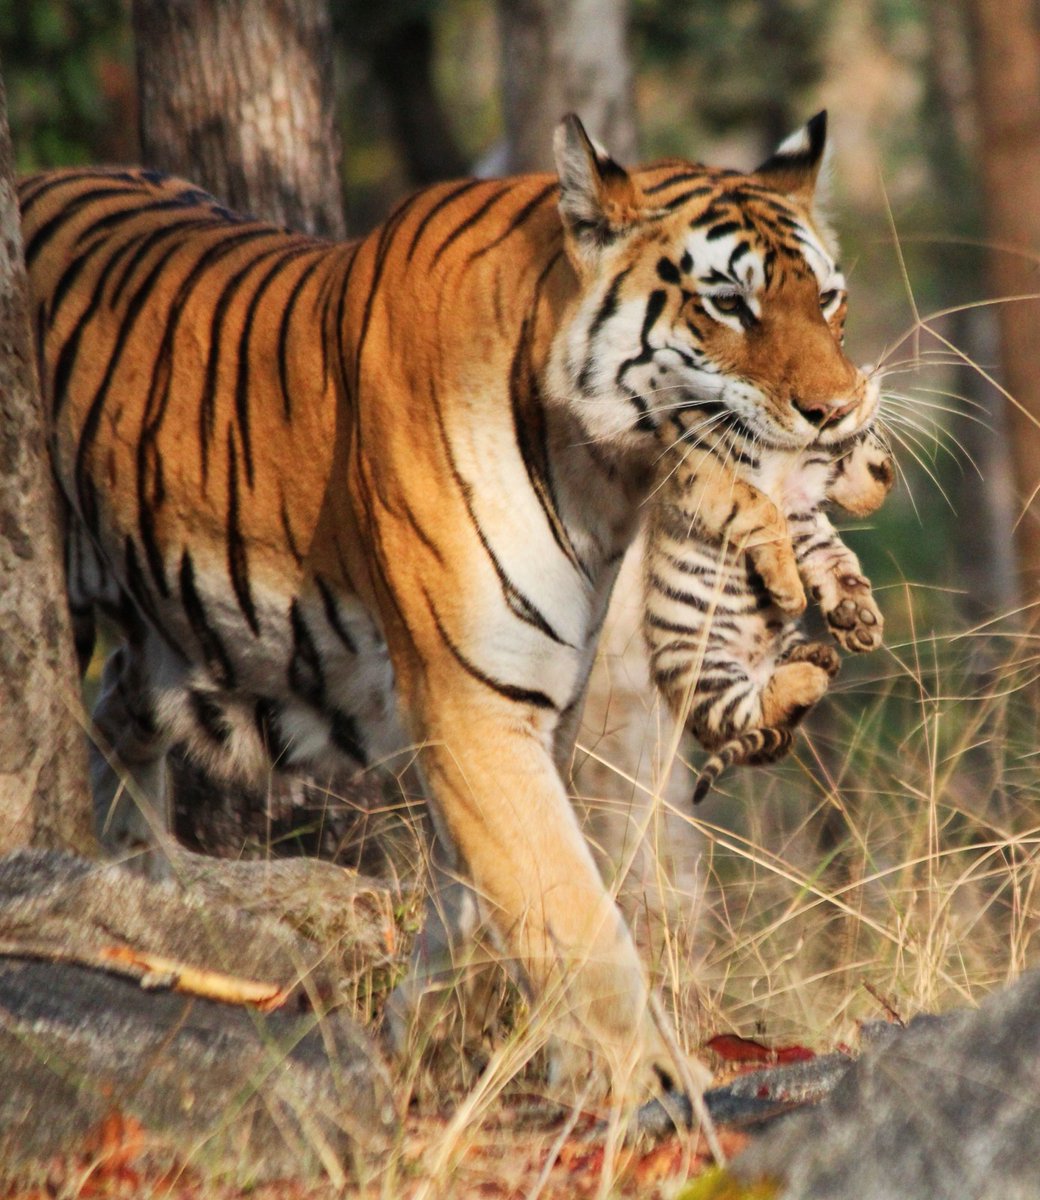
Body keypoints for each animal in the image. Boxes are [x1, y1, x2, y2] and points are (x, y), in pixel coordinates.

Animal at [644, 424, 894, 804]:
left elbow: (831, 557)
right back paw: (810, 673)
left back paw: (818, 658)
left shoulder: (804, 516)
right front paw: (790, 594)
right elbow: (761, 516)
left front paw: (857, 618)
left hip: (782, 643)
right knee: (757, 711)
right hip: (705, 672)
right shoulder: (705, 482)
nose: (888, 473)